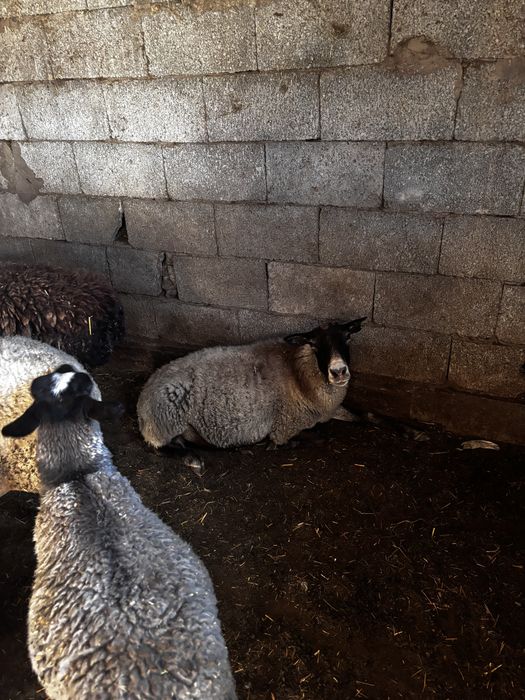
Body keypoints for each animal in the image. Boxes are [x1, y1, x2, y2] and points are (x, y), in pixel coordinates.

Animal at [137, 318, 366, 466]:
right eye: (314, 344)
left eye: (348, 337)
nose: (338, 371)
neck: (299, 373)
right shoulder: (284, 426)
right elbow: (318, 437)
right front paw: (279, 445)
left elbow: (359, 416)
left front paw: (370, 418)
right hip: (164, 423)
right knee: (158, 447)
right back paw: (193, 460)